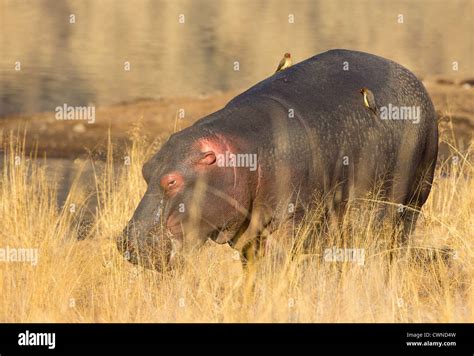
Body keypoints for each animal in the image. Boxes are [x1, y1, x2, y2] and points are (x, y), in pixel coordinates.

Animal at [115, 49, 436, 270]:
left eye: (172, 181)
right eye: (145, 170)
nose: (127, 242)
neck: (242, 153)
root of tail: (412, 76)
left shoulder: (291, 222)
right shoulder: (249, 233)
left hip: (412, 199)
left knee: (395, 237)